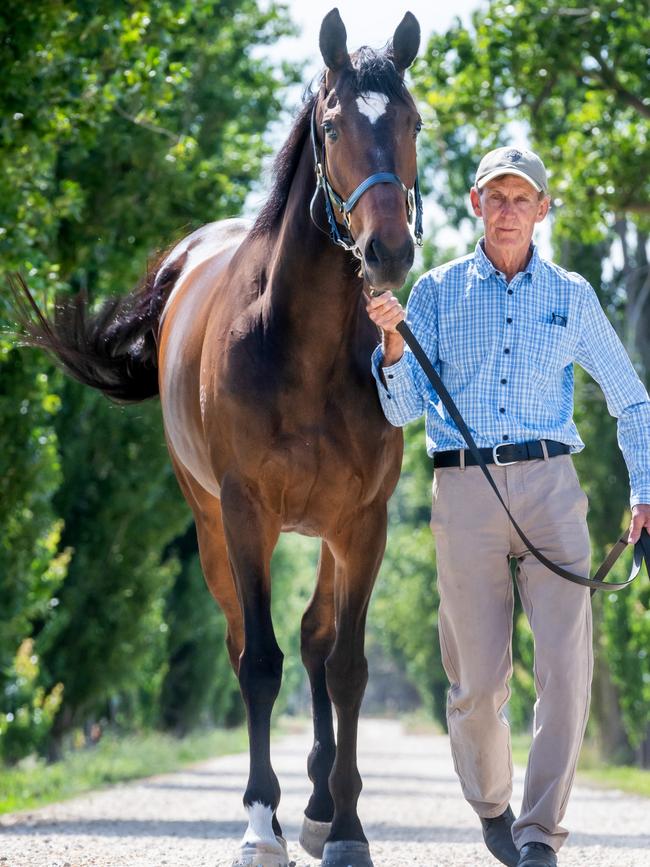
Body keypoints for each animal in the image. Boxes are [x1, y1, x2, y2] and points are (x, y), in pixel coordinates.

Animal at [15, 8, 422, 867]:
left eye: (412, 121)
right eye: (331, 125)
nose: (389, 251)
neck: (301, 347)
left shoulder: (361, 522)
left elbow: (346, 665)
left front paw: (347, 827)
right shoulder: (246, 513)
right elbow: (259, 663)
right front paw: (260, 824)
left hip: (325, 533)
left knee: (316, 639)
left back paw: (318, 803)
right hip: (208, 526)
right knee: (245, 646)